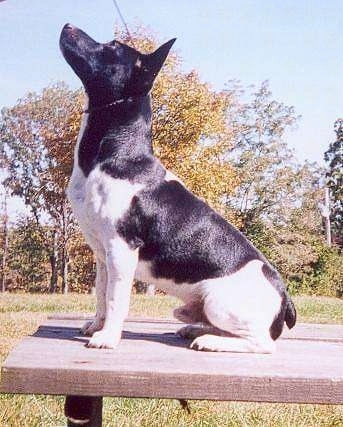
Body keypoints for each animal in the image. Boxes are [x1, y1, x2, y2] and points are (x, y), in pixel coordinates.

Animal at [59, 21, 296, 352]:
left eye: (112, 46)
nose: (68, 25)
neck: (116, 153)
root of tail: (284, 297)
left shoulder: (121, 249)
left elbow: (116, 299)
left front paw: (108, 337)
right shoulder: (103, 255)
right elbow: (101, 295)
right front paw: (96, 325)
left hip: (219, 304)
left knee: (261, 343)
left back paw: (211, 342)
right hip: (196, 306)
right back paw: (197, 331)